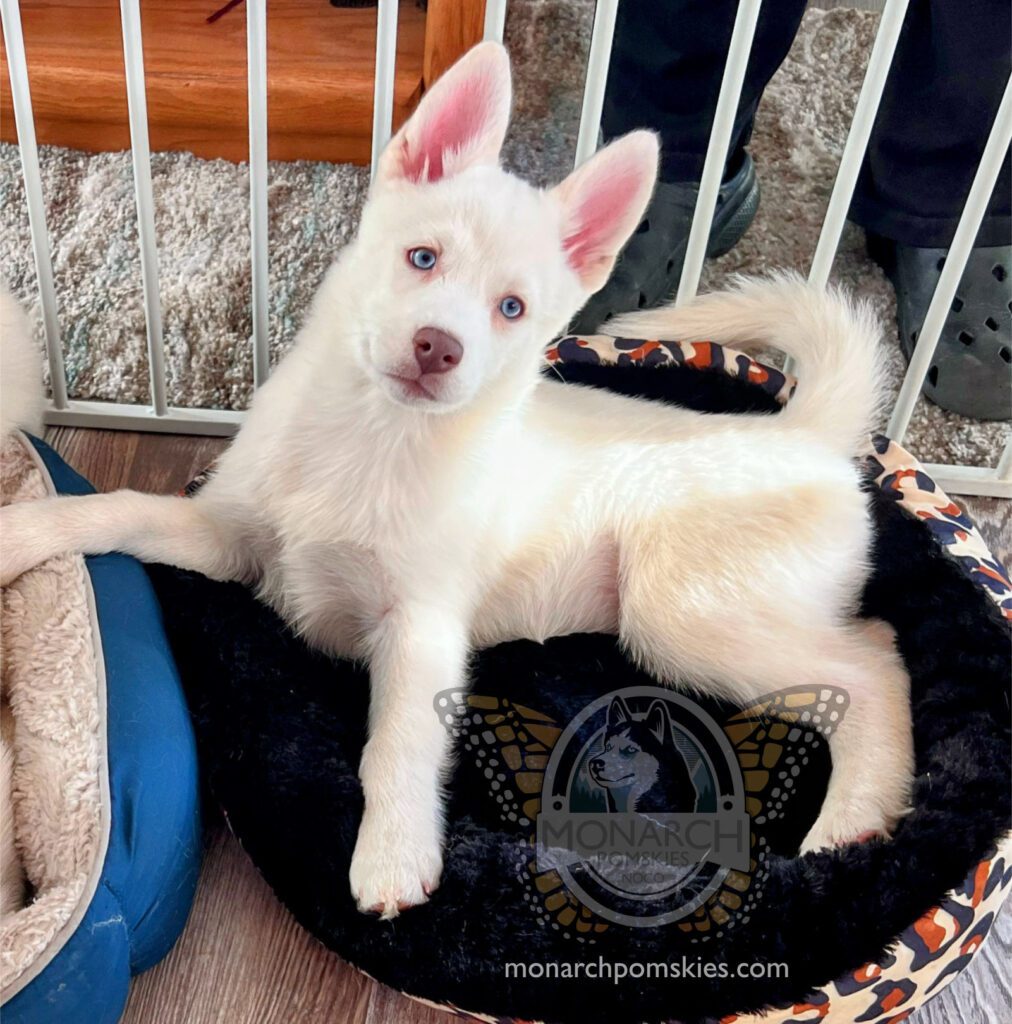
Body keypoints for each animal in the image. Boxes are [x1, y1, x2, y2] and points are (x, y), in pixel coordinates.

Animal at [0, 41, 913, 921]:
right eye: (422, 258)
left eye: (512, 309)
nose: (440, 347)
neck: (371, 440)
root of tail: (805, 432)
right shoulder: (229, 538)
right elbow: (118, 507)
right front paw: (25, 532)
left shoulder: (420, 629)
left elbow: (396, 747)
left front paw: (392, 854)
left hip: (681, 613)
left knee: (875, 665)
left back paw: (849, 825)